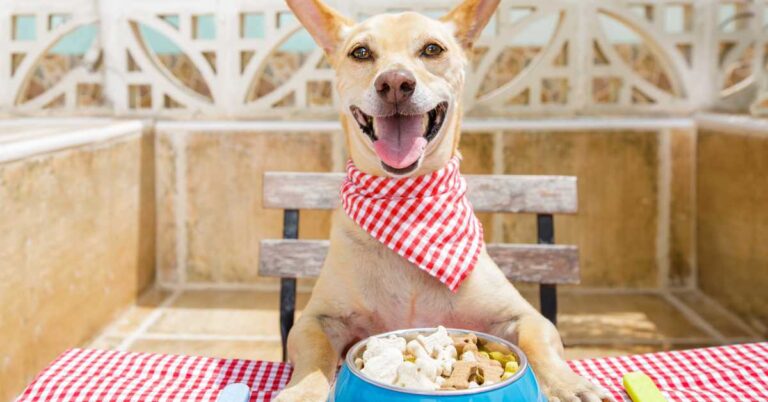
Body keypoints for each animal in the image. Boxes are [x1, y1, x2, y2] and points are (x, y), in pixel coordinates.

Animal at [274, 0, 612, 402]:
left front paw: (567, 383)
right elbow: (316, 354)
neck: (407, 206)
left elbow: (537, 341)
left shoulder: (525, 316)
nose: (395, 83)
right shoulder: (316, 320)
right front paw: (302, 391)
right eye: (361, 52)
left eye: (432, 49)